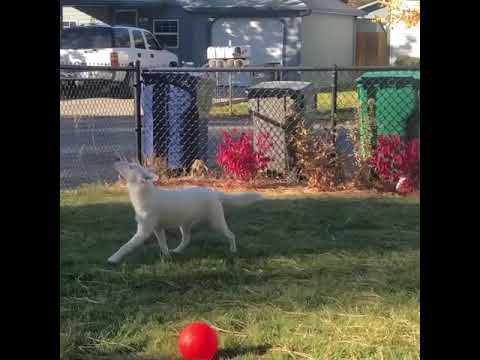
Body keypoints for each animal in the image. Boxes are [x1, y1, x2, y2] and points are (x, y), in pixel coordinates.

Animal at [108, 161, 262, 264]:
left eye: (131, 166)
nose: (115, 162)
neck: (146, 195)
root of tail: (214, 193)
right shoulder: (158, 229)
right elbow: (163, 245)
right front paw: (167, 257)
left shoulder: (143, 232)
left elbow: (126, 246)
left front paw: (113, 259)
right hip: (184, 225)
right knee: (187, 239)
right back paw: (177, 251)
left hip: (216, 222)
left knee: (231, 234)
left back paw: (233, 250)